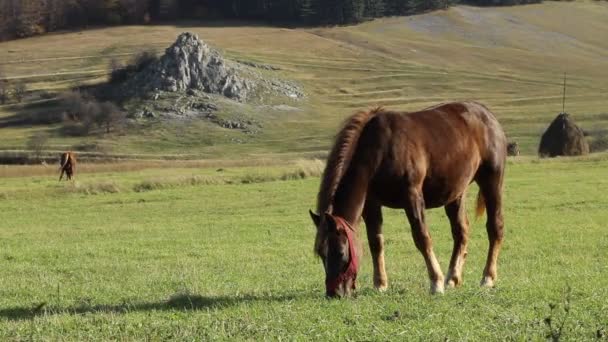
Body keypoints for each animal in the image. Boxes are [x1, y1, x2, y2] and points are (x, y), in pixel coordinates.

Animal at [312, 101, 506, 296]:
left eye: (340, 252)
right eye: (321, 253)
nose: (334, 293)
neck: (381, 149)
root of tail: (487, 115)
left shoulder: (412, 197)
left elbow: (422, 237)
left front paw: (436, 282)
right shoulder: (371, 204)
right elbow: (375, 242)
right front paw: (380, 284)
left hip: (491, 182)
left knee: (494, 226)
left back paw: (487, 277)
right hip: (456, 193)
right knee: (461, 231)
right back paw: (453, 278)